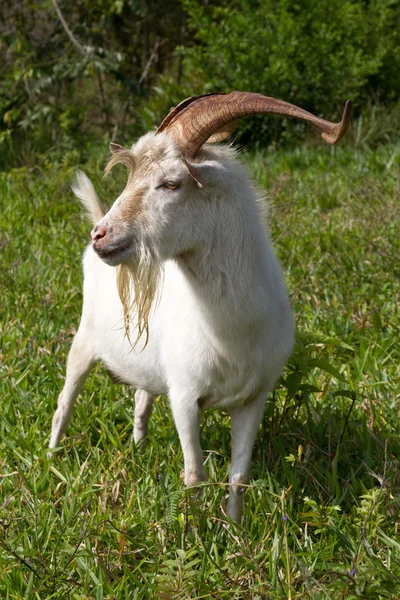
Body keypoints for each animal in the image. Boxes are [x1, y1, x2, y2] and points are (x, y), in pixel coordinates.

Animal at [49, 90, 350, 520]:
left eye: (171, 183)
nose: (101, 234)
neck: (230, 330)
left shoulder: (253, 399)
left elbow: (239, 476)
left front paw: (234, 528)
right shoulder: (185, 397)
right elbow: (195, 476)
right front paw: (194, 530)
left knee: (141, 397)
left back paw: (139, 446)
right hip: (85, 342)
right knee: (65, 401)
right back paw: (52, 457)